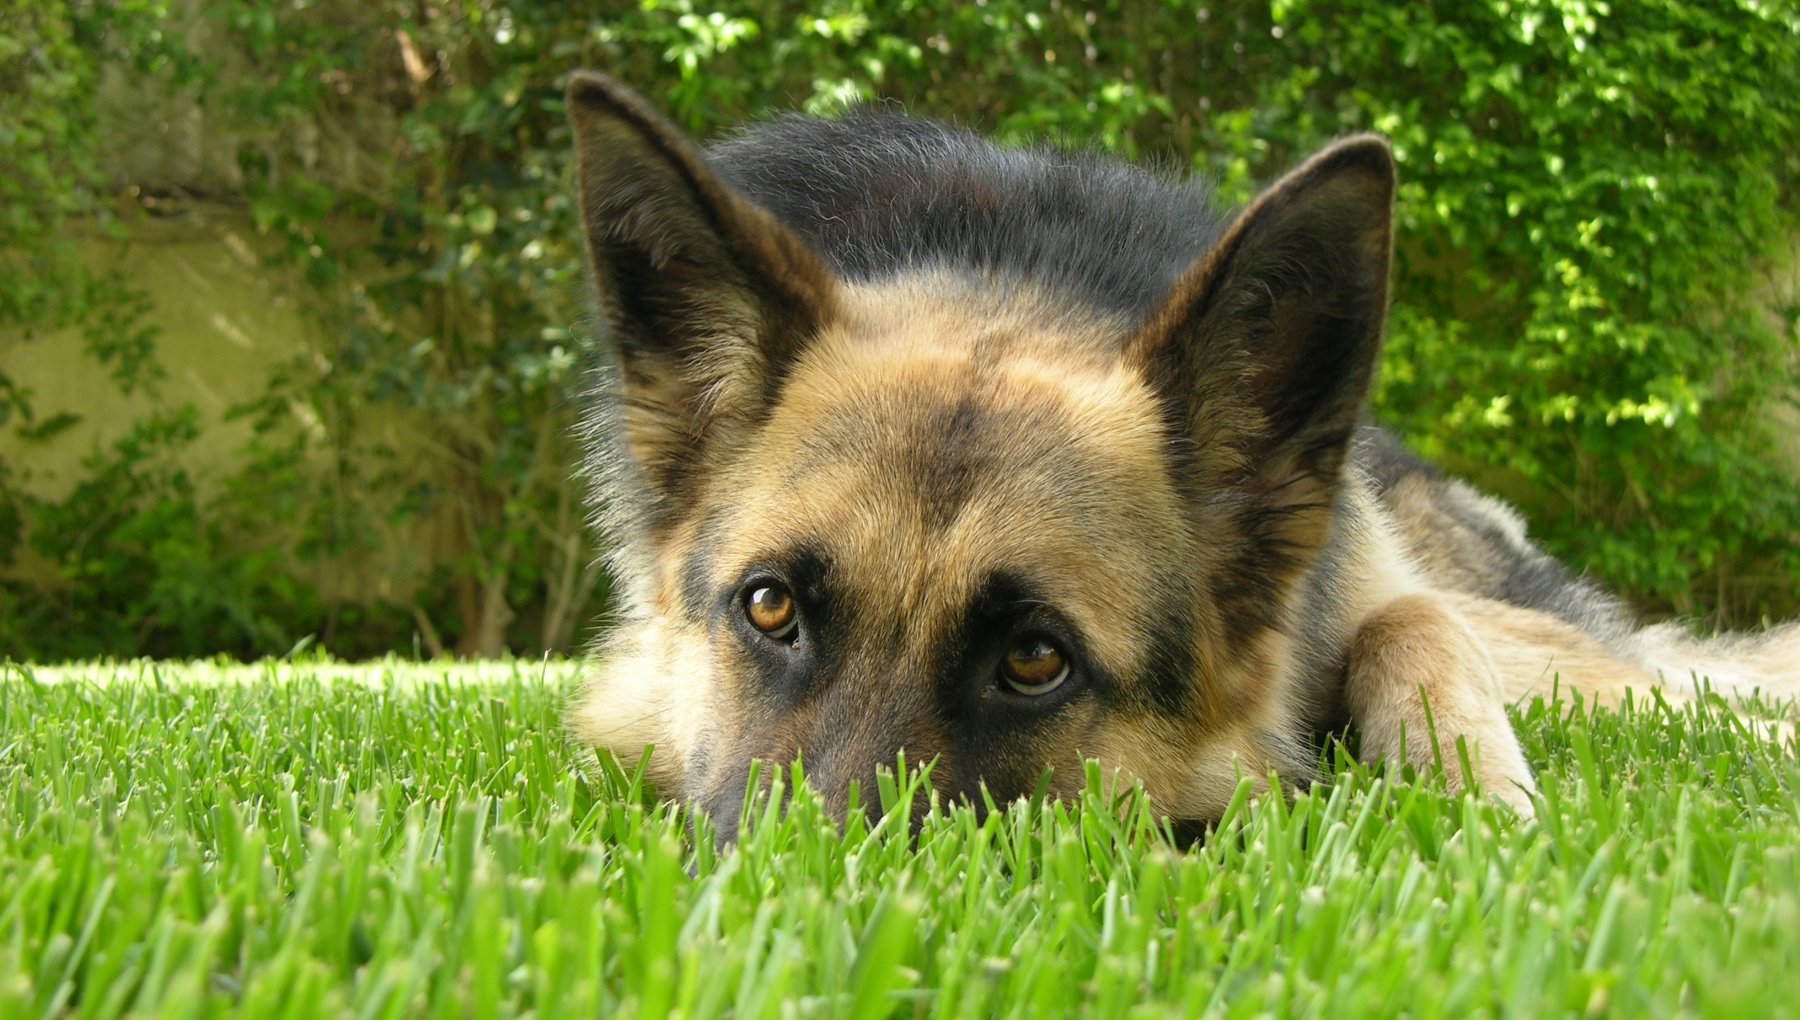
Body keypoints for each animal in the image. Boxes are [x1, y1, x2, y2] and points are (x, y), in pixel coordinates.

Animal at [565, 73, 1800, 838]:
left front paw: (1481, 808)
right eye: (768, 606)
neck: (1018, 268)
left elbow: (1415, 628)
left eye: (1036, 659)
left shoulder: (1378, 596)